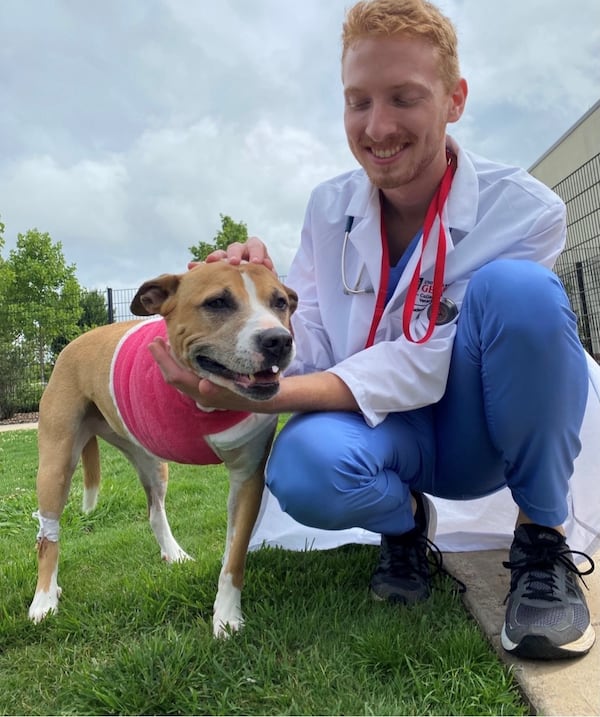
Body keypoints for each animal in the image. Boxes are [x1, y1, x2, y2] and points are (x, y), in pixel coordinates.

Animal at [29, 260, 296, 636]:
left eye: (280, 302)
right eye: (217, 302)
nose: (278, 340)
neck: (204, 402)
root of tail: (77, 341)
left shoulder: (247, 477)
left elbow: (235, 554)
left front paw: (227, 614)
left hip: (151, 461)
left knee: (155, 512)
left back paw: (174, 553)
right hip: (56, 464)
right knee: (47, 536)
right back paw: (44, 598)